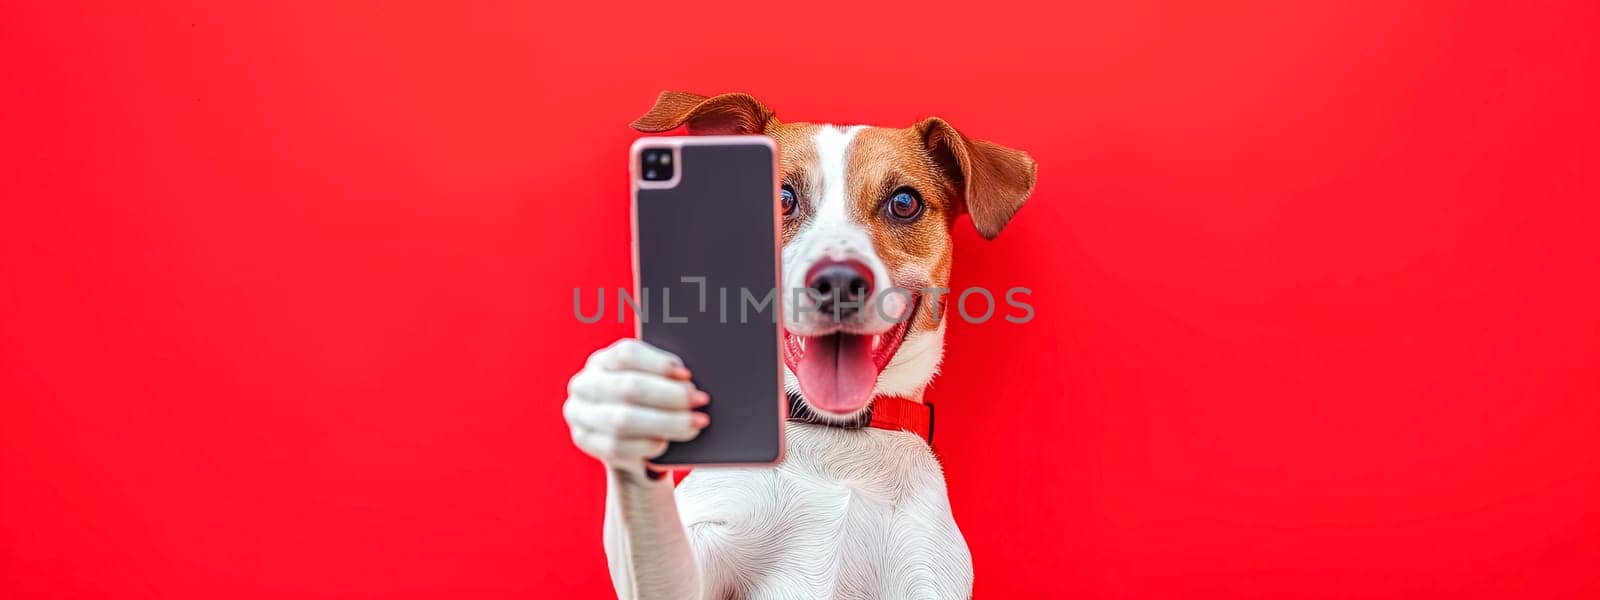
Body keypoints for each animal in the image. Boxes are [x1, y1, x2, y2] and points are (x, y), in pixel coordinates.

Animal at [563, 90, 1036, 600]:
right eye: (781, 197)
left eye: (904, 202)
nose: (839, 282)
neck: (837, 444)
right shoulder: (691, 570)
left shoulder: (930, 575)